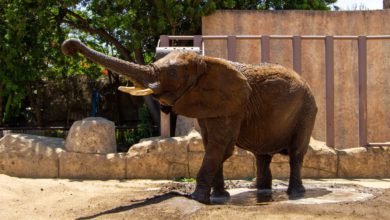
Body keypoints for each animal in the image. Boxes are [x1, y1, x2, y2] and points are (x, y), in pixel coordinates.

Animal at [61, 38, 316, 205]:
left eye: (173, 74)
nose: (68, 46)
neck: (205, 61)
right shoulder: (211, 105)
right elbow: (211, 145)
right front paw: (219, 197)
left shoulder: (233, 106)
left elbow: (219, 147)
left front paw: (196, 198)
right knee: (262, 155)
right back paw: (259, 191)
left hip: (307, 111)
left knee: (296, 154)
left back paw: (295, 194)